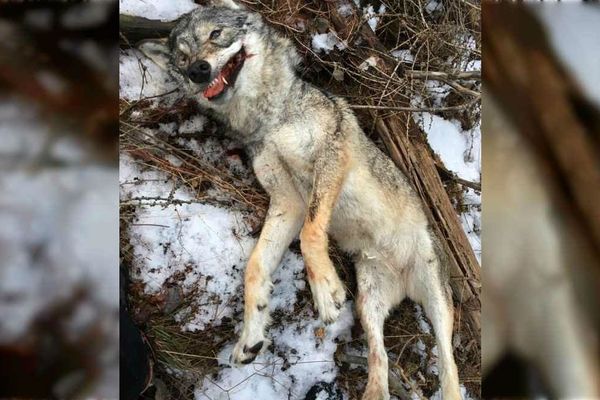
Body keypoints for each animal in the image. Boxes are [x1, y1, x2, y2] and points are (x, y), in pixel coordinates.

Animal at [142, 1, 464, 398]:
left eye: (216, 34)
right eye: (183, 58)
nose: (197, 70)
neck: (268, 119)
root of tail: (404, 282)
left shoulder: (330, 157)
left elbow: (311, 235)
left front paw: (324, 289)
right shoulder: (287, 202)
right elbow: (255, 266)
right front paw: (251, 334)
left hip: (436, 300)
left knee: (449, 366)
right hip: (368, 306)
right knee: (380, 358)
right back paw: (374, 391)